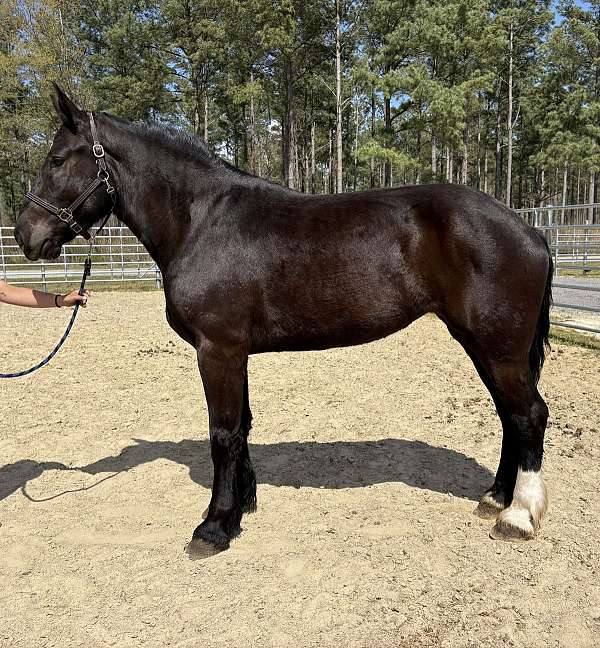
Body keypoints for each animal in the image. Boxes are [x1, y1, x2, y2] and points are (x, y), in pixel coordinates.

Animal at [15, 84, 553, 551]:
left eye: (57, 160)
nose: (24, 235)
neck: (201, 221)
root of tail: (528, 230)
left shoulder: (218, 350)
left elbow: (223, 432)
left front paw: (214, 526)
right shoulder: (234, 352)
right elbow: (242, 427)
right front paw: (241, 506)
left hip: (499, 348)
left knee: (529, 414)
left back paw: (518, 515)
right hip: (482, 345)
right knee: (510, 416)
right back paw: (495, 497)